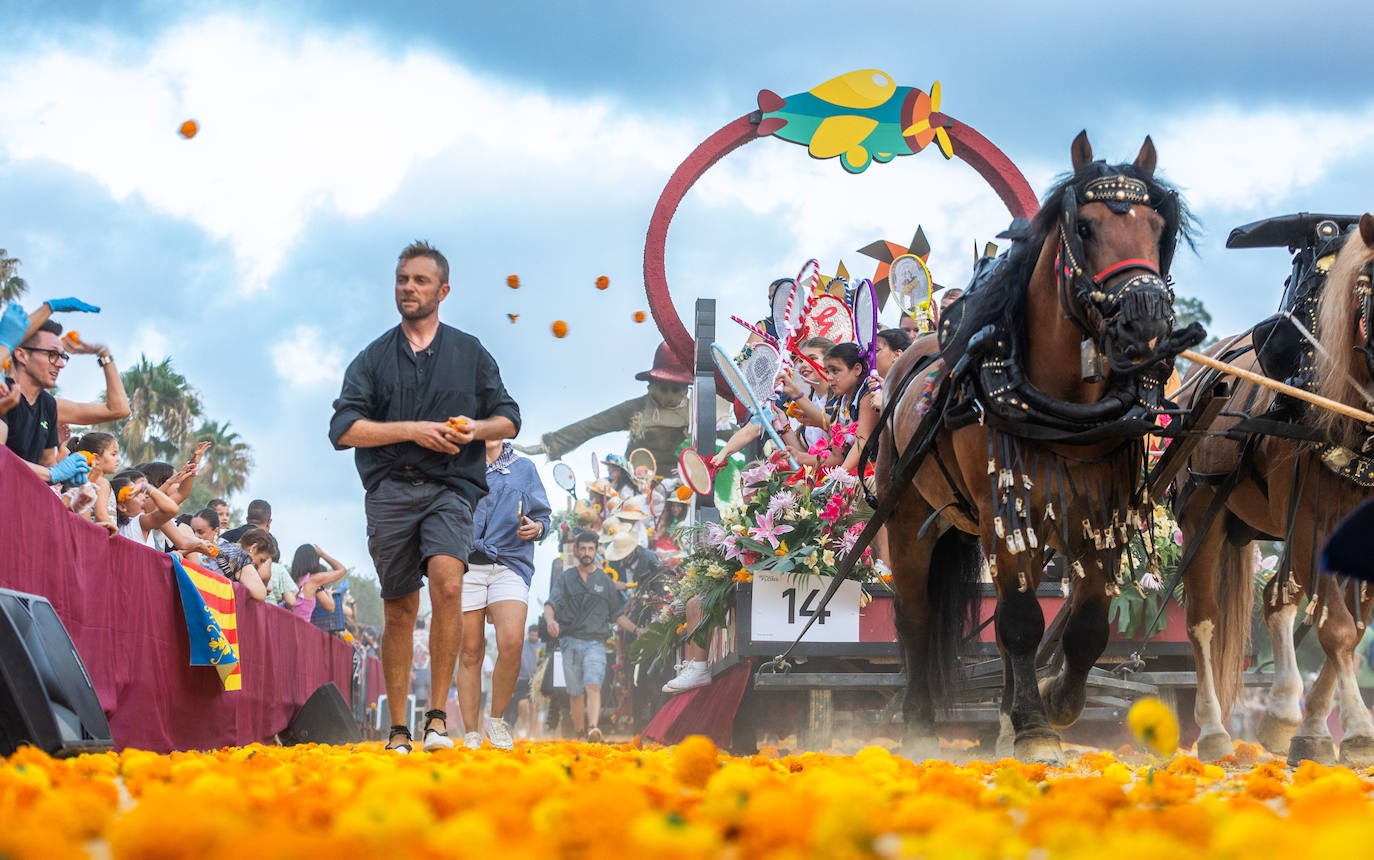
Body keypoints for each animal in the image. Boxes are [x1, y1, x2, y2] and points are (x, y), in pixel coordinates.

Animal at [873, 130, 1198, 758]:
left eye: (1157, 227)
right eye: (1086, 227)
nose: (1146, 323)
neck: (1062, 400)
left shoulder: (1099, 512)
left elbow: (1087, 624)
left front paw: (1054, 702)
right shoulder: (1005, 512)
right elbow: (1021, 621)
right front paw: (1033, 728)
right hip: (907, 512)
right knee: (915, 614)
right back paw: (919, 723)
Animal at [1176, 211, 1374, 758]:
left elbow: (1352, 628)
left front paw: (1315, 729)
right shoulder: (1312, 517)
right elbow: (1338, 629)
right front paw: (1358, 729)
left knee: (1276, 600)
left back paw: (1285, 712)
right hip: (1204, 513)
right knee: (1203, 620)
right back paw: (1215, 732)